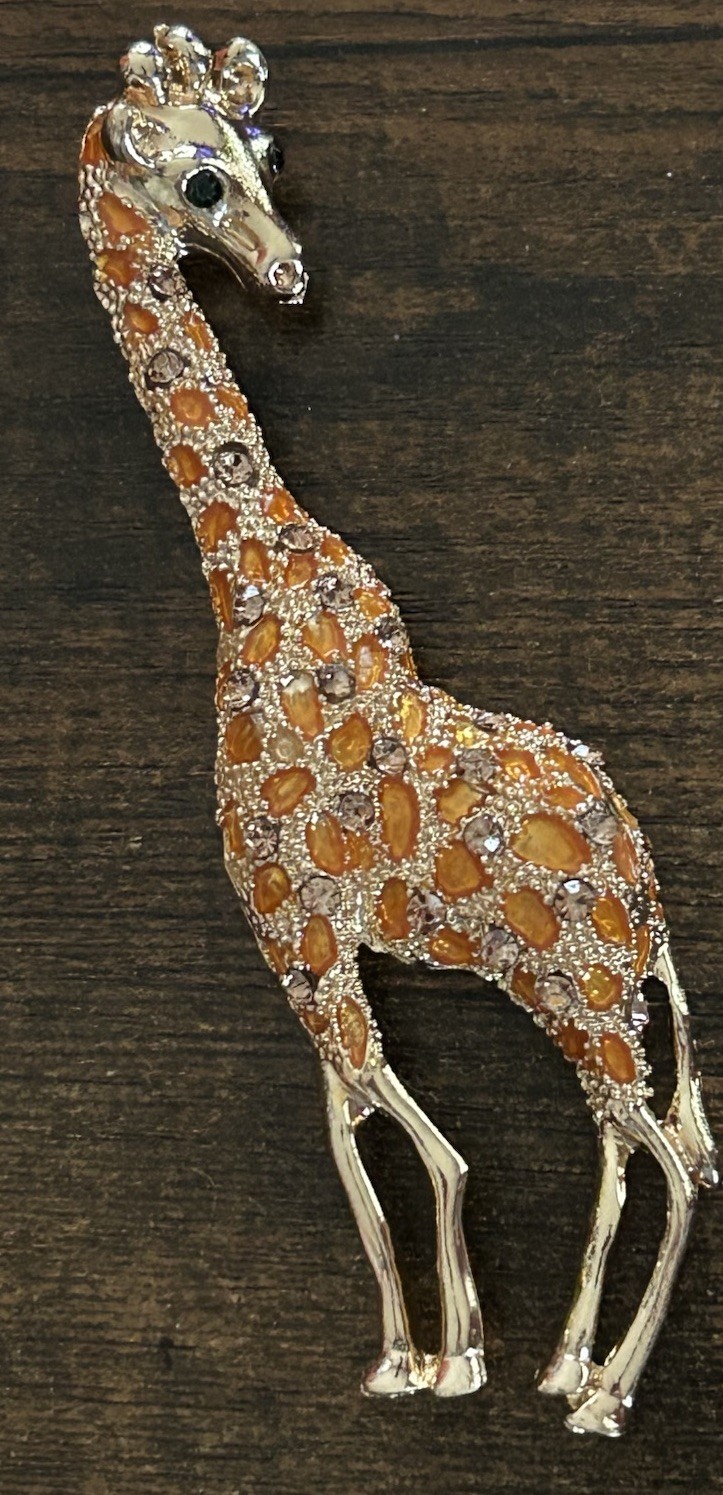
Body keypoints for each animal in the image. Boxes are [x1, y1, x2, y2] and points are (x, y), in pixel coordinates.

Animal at [78, 25, 717, 1437]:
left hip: (580, 989)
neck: (250, 585)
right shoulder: (315, 950)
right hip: (592, 1000)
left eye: (260, 155)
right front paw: (430, 1353)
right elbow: (376, 1141)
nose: (287, 273)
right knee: (637, 1146)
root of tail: (645, 886)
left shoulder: (300, 944)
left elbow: (410, 1148)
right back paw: (566, 1361)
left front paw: (438, 1357)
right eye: (202, 182)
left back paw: (600, 1396)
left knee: (676, 1162)